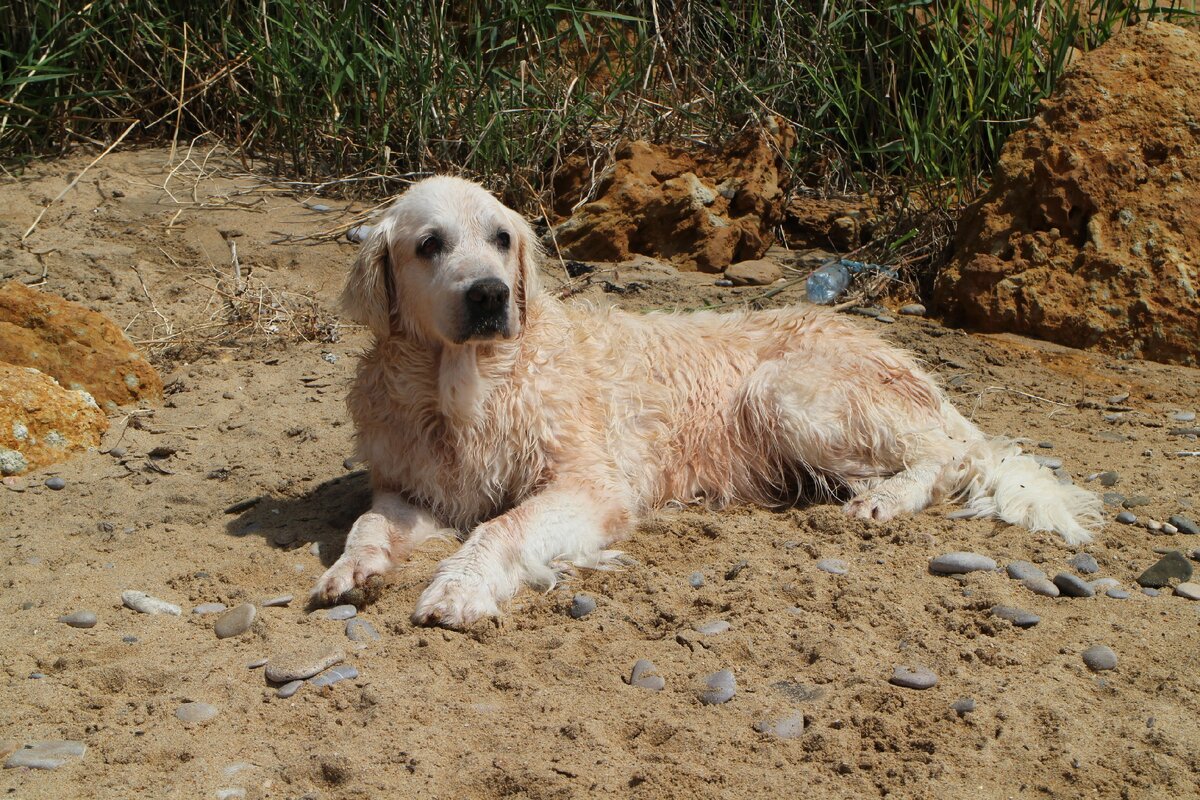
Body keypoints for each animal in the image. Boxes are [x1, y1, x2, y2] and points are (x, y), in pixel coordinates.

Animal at [312, 178, 1104, 628]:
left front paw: (459, 589)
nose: (490, 295)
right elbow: (368, 523)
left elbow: (499, 528)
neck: (467, 389)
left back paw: (884, 500)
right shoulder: (414, 487)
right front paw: (353, 570)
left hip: (784, 390)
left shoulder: (590, 486)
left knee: (947, 456)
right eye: (429, 244)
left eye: (501, 238)